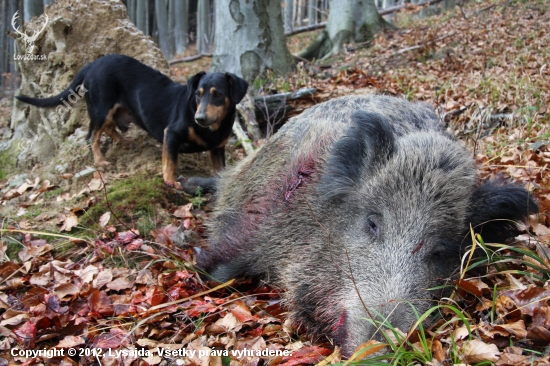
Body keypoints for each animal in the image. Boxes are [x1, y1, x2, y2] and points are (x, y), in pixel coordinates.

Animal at [15, 55, 248, 190]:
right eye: (198, 95)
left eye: (218, 95)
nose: (199, 119)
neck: (213, 129)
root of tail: (92, 63)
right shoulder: (171, 134)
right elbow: (170, 162)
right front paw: (170, 181)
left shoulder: (217, 149)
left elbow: (219, 171)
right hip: (100, 106)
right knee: (92, 135)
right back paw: (100, 161)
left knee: (109, 127)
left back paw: (125, 142)